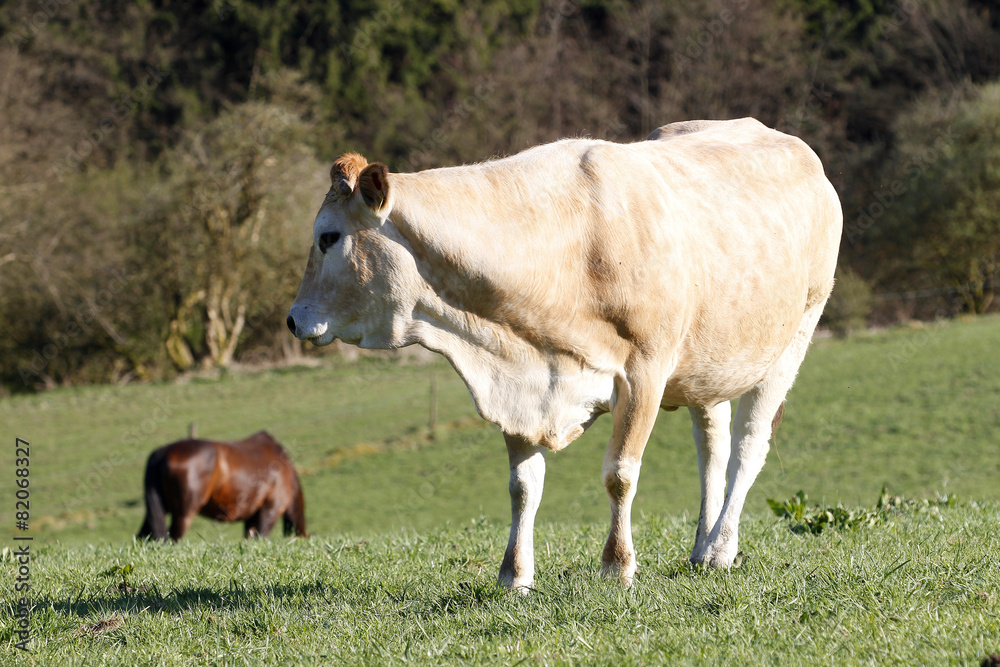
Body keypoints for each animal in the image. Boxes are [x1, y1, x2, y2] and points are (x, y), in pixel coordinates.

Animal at [137, 434, 306, 544]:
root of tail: (162, 452)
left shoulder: (252, 516)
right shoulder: (270, 509)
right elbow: (262, 537)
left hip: (159, 509)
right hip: (183, 513)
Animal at [290, 118, 844, 588]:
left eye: (328, 237)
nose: (294, 319)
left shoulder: (644, 372)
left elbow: (620, 474)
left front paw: (617, 567)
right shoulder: (518, 379)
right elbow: (523, 485)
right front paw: (514, 576)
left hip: (793, 338)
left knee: (748, 447)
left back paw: (721, 549)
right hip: (708, 362)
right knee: (713, 446)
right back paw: (701, 547)